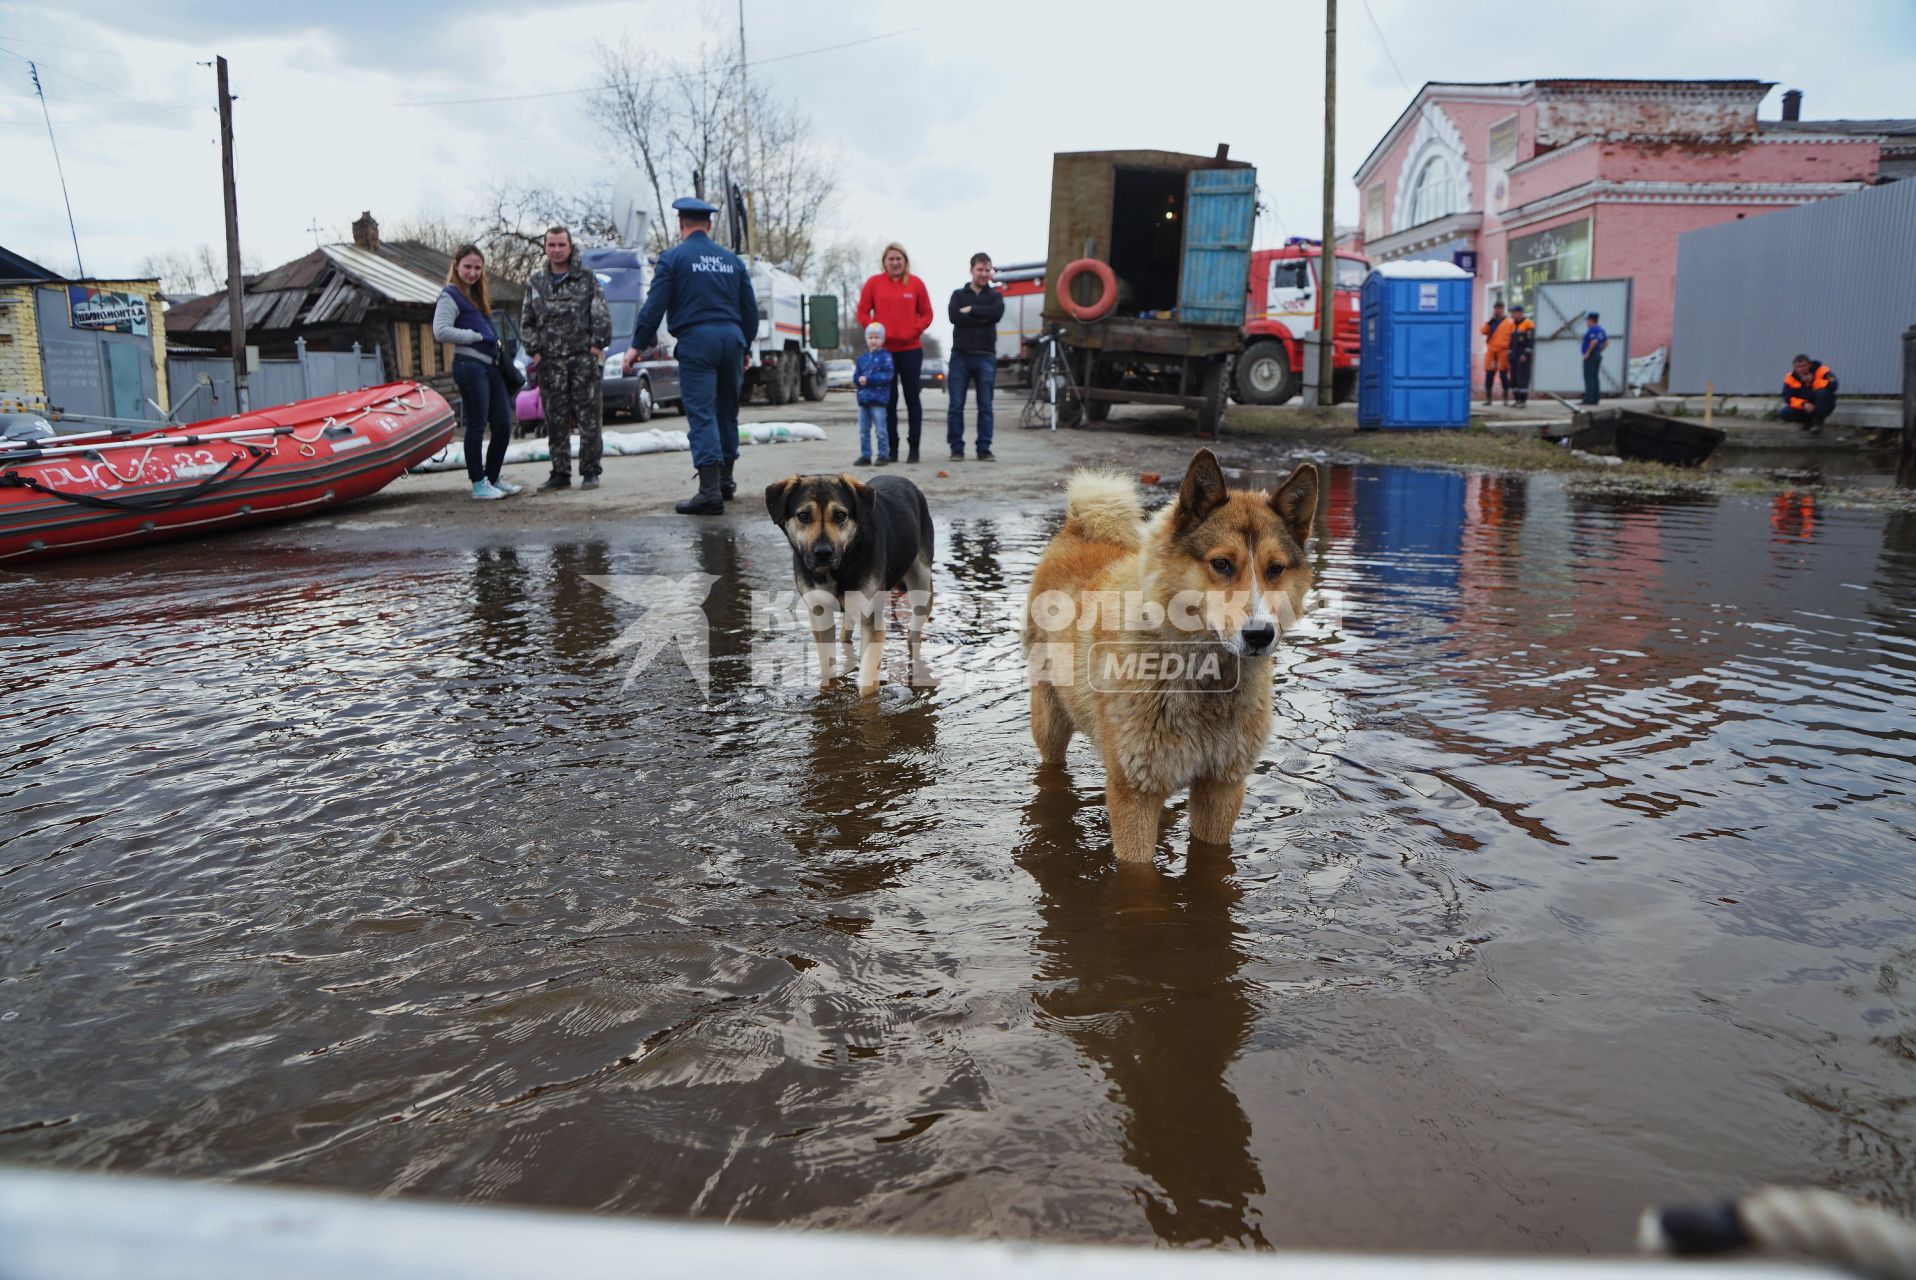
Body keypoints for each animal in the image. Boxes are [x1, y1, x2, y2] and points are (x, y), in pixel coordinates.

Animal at [766, 469, 938, 693]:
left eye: (840, 515)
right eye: (803, 516)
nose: (823, 553)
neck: (838, 567)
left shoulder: (871, 619)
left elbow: (867, 682)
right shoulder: (820, 614)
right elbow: (827, 668)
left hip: (921, 583)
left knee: (913, 636)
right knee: (845, 631)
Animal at [1019, 450, 1318, 858]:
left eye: (1276, 569)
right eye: (1222, 563)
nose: (1260, 634)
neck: (1205, 681)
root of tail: (1078, 529)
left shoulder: (1221, 788)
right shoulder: (1134, 794)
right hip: (1049, 721)